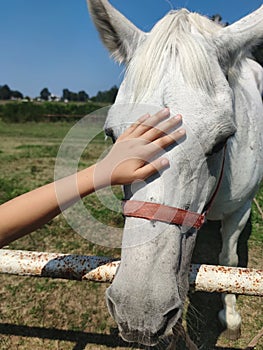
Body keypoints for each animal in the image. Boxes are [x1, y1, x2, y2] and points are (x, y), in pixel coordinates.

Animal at [87, 1, 263, 348]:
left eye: (222, 140)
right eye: (112, 136)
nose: (140, 311)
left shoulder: (241, 209)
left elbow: (229, 262)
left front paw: (231, 316)